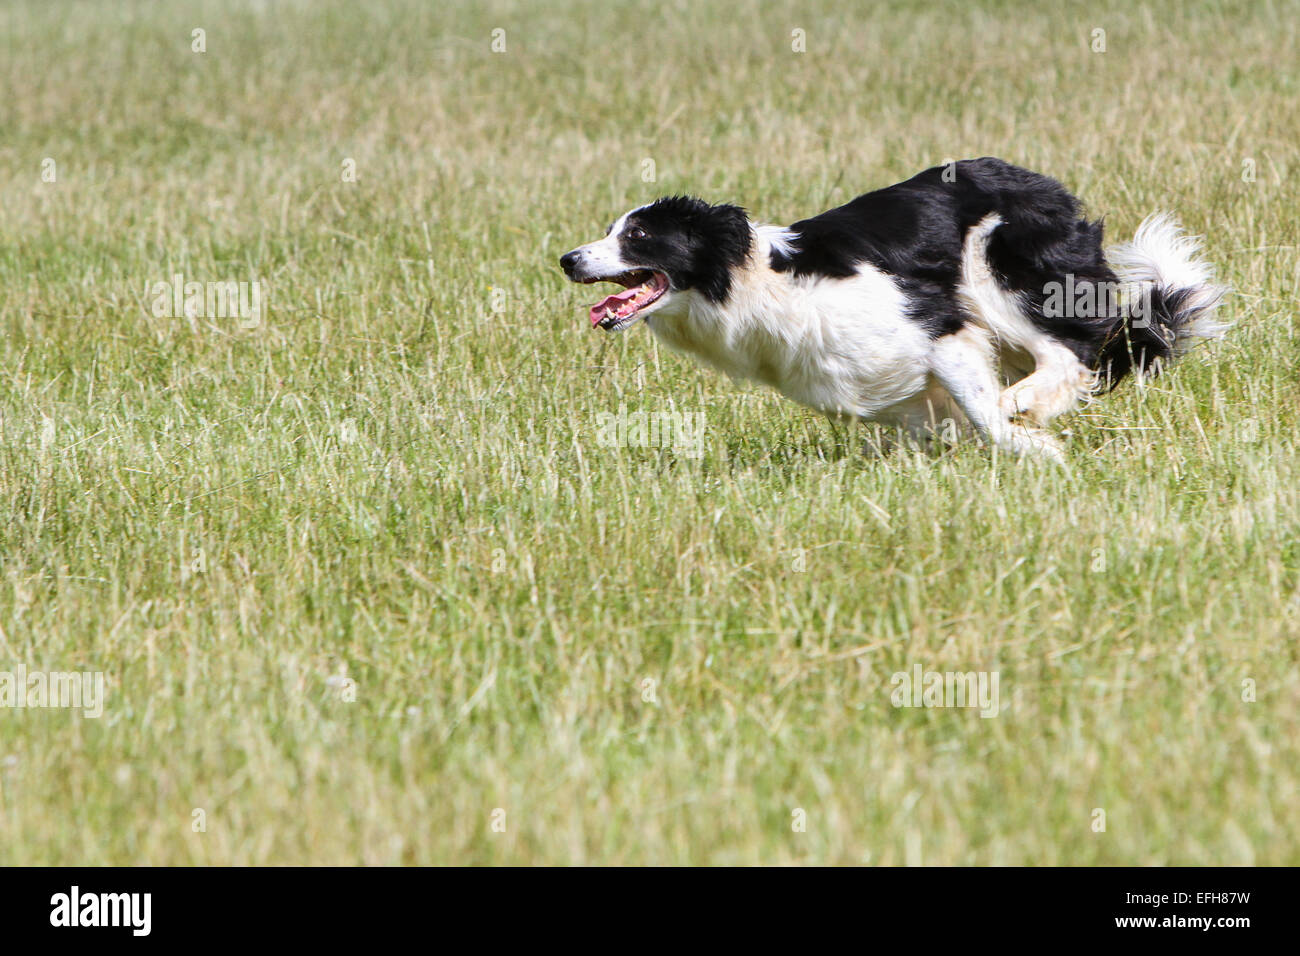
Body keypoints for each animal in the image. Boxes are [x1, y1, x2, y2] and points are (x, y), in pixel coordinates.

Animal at [561, 156, 1227, 460]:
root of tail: (1046, 186)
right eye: (610, 230)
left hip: (997, 270)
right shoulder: (886, 391)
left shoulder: (939, 328)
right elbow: (951, 421)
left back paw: (1023, 404)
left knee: (1067, 354)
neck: (757, 283)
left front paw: (1033, 446)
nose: (567, 259)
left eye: (638, 236)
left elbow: (983, 414)